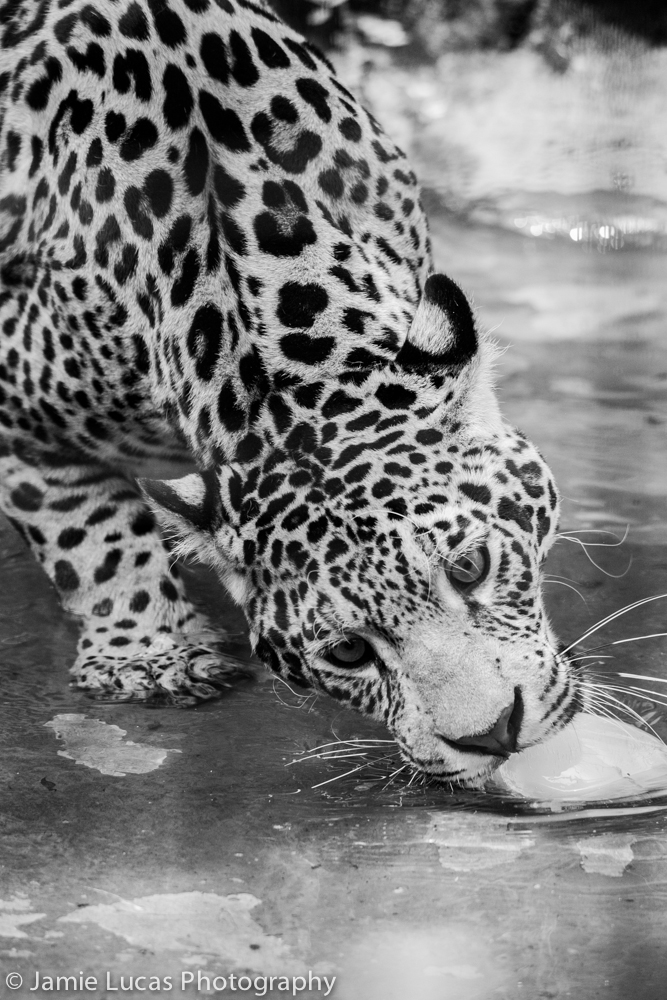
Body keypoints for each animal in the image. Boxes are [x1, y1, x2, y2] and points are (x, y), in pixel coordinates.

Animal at [0, 0, 581, 784]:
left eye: (470, 567)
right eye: (347, 651)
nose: (494, 735)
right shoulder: (22, 413)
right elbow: (86, 534)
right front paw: (148, 655)